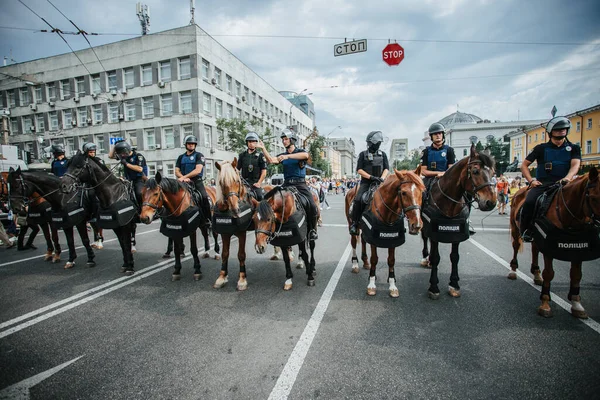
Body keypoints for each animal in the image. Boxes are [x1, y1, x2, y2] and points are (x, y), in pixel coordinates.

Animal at [344, 168, 424, 296]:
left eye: (422, 191)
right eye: (403, 193)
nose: (416, 225)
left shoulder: (392, 239)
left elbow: (391, 261)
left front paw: (392, 286)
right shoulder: (374, 240)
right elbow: (374, 259)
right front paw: (371, 284)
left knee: (363, 240)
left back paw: (365, 262)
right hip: (351, 225)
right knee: (353, 242)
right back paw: (355, 264)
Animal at [418, 145, 496, 298]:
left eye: (493, 172)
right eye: (475, 171)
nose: (491, 202)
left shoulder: (456, 235)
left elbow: (455, 257)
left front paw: (454, 284)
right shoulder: (434, 233)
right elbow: (436, 257)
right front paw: (434, 286)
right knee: (425, 238)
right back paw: (425, 258)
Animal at [508, 167, 600, 318]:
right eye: (593, 198)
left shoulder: (579, 248)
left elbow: (576, 275)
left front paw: (576, 304)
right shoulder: (549, 248)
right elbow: (549, 273)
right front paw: (545, 304)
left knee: (535, 249)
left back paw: (536, 274)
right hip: (515, 228)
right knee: (516, 246)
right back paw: (513, 271)